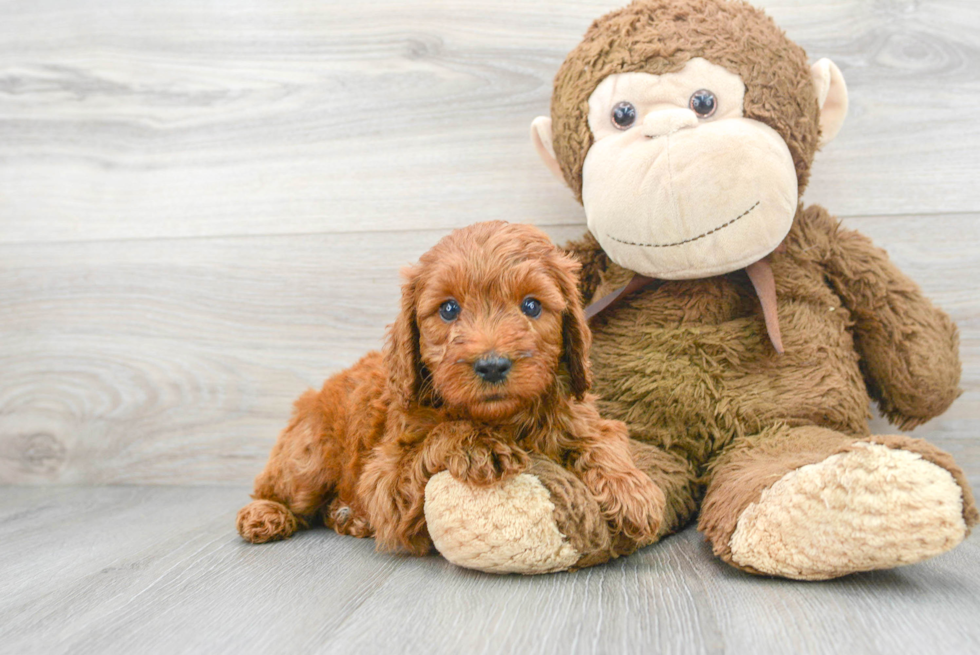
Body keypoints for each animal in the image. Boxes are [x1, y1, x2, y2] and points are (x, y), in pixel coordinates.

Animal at [237, 223, 668, 556]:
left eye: (531, 306)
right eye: (448, 309)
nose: (492, 365)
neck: (503, 417)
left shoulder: (579, 413)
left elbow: (602, 440)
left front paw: (632, 493)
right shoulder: (386, 474)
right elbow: (440, 435)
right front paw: (479, 444)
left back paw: (347, 515)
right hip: (309, 457)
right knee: (277, 487)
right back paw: (266, 514)